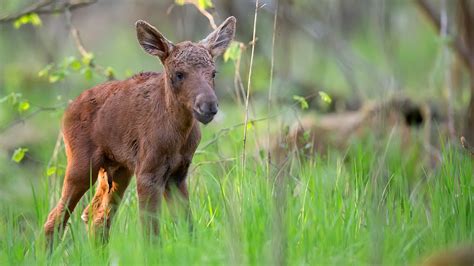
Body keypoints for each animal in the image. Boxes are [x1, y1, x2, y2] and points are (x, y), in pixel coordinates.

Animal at [43, 16, 236, 241]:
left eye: (213, 73)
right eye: (179, 74)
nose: (208, 105)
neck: (179, 135)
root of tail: (67, 110)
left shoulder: (177, 174)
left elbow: (188, 227)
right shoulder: (148, 173)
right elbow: (151, 233)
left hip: (117, 170)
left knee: (96, 218)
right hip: (81, 165)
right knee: (55, 219)